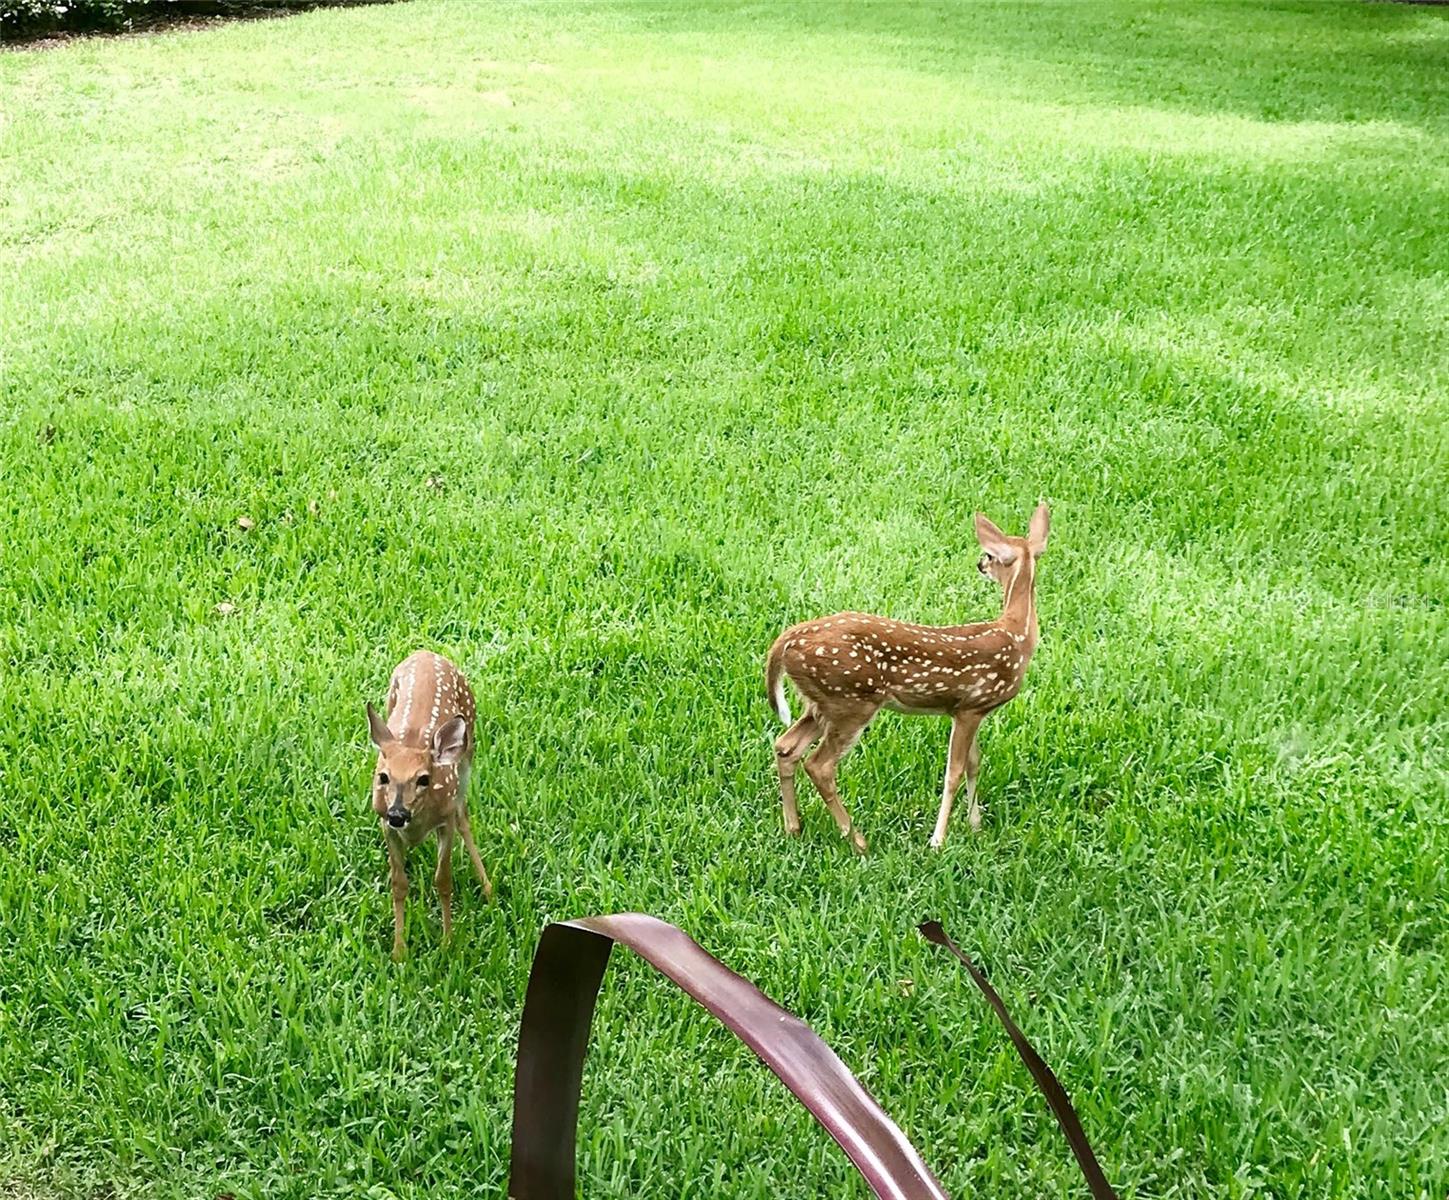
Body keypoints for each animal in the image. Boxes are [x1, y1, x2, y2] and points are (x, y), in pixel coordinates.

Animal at [366, 650, 493, 960]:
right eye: (383, 777)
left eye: (423, 778)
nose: (398, 814)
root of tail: (425, 652)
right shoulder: (384, 823)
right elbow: (399, 884)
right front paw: (399, 951)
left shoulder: (444, 821)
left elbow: (443, 880)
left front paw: (448, 943)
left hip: (468, 748)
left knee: (464, 816)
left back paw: (487, 887)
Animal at [765, 503, 1049, 853]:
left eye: (990, 555)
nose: (980, 563)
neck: (1017, 634)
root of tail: (786, 642)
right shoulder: (971, 706)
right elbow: (953, 772)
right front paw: (938, 841)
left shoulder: (969, 710)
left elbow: (973, 764)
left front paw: (975, 826)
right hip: (850, 700)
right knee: (819, 765)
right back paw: (858, 841)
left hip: (823, 702)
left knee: (785, 747)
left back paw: (794, 828)